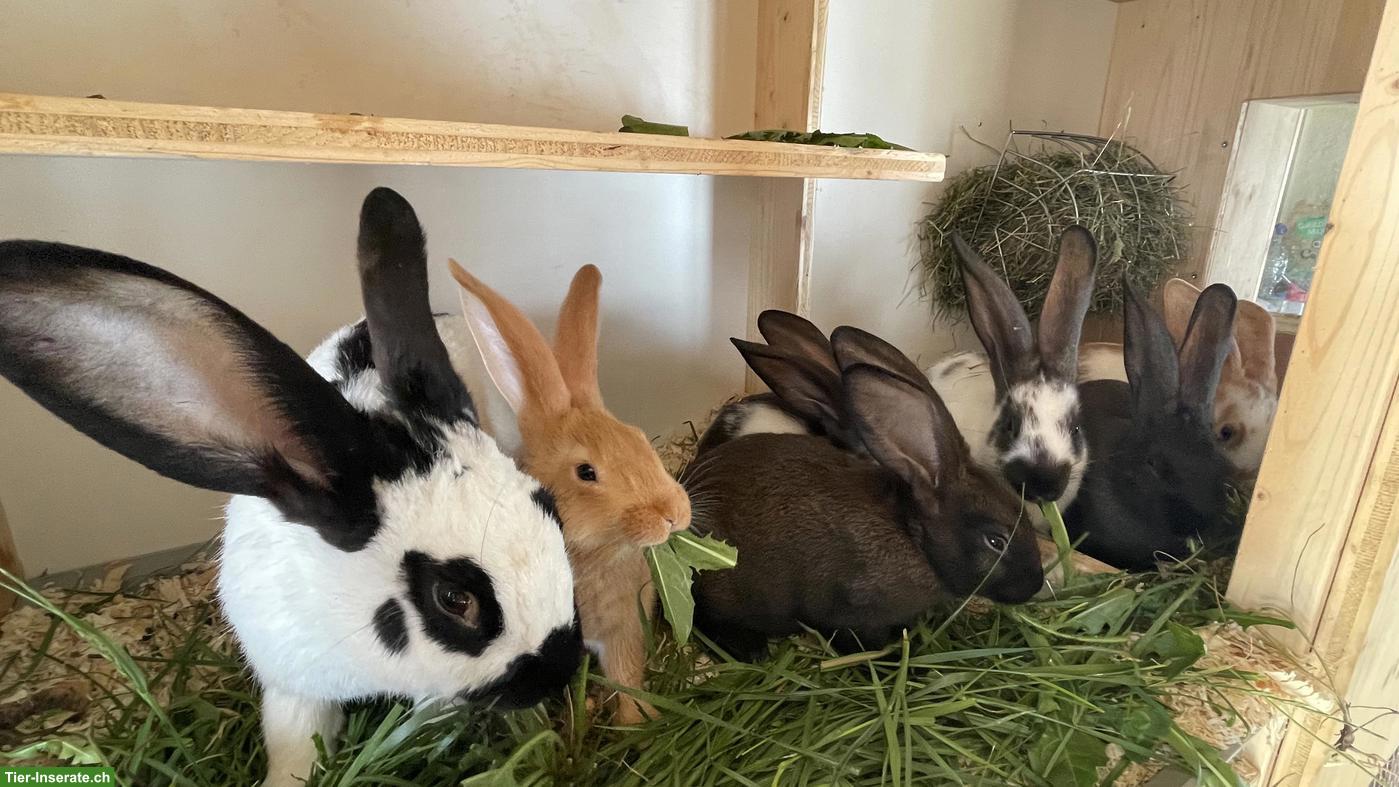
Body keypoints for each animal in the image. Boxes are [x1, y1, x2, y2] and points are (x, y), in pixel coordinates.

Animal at [447, 260, 692, 725]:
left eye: (638, 437)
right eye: (586, 472)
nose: (674, 514)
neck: (589, 554)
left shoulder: (623, 631)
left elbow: (627, 677)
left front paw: (637, 722)